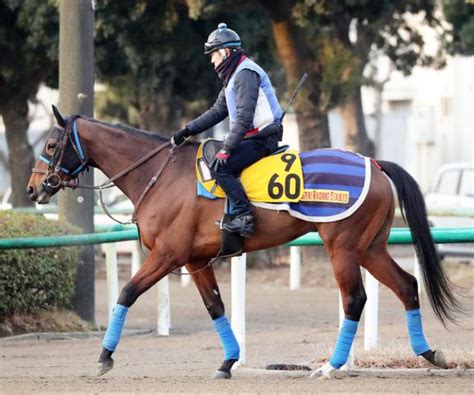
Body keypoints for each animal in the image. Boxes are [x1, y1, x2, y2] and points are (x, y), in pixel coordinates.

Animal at [25, 108, 460, 380]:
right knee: (407, 285)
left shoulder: (167, 255)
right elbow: (216, 307)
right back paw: (430, 354)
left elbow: (127, 294)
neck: (160, 175)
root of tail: (374, 163)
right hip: (371, 248)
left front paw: (104, 357)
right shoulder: (195, 260)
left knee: (354, 299)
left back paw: (331, 366)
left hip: (344, 248)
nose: (32, 188)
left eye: (50, 146)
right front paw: (228, 362)